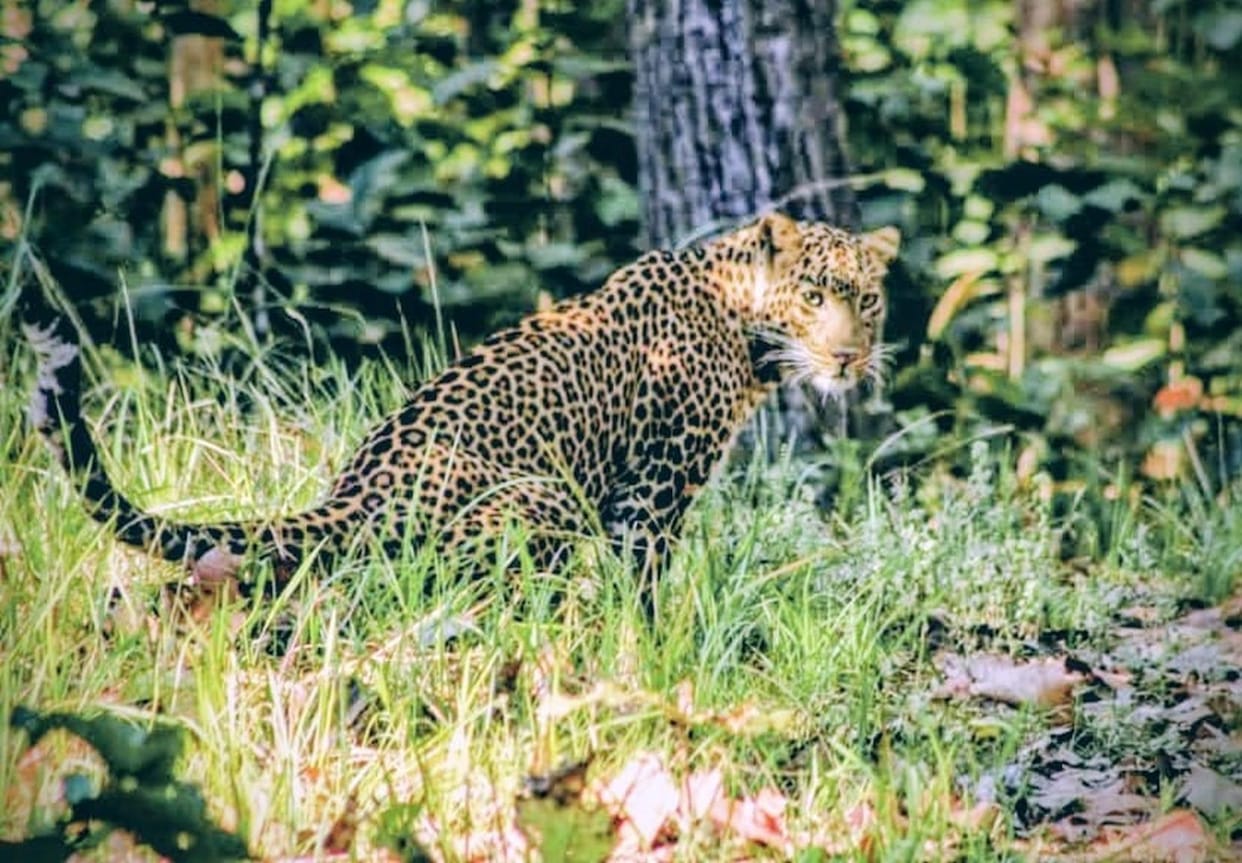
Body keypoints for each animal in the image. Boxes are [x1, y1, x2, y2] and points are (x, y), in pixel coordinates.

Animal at [22, 213, 899, 606]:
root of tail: (352, 497)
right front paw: (651, 644)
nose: (848, 357)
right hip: (541, 496)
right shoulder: (650, 491)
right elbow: (640, 583)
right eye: (813, 296)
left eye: (869, 300)